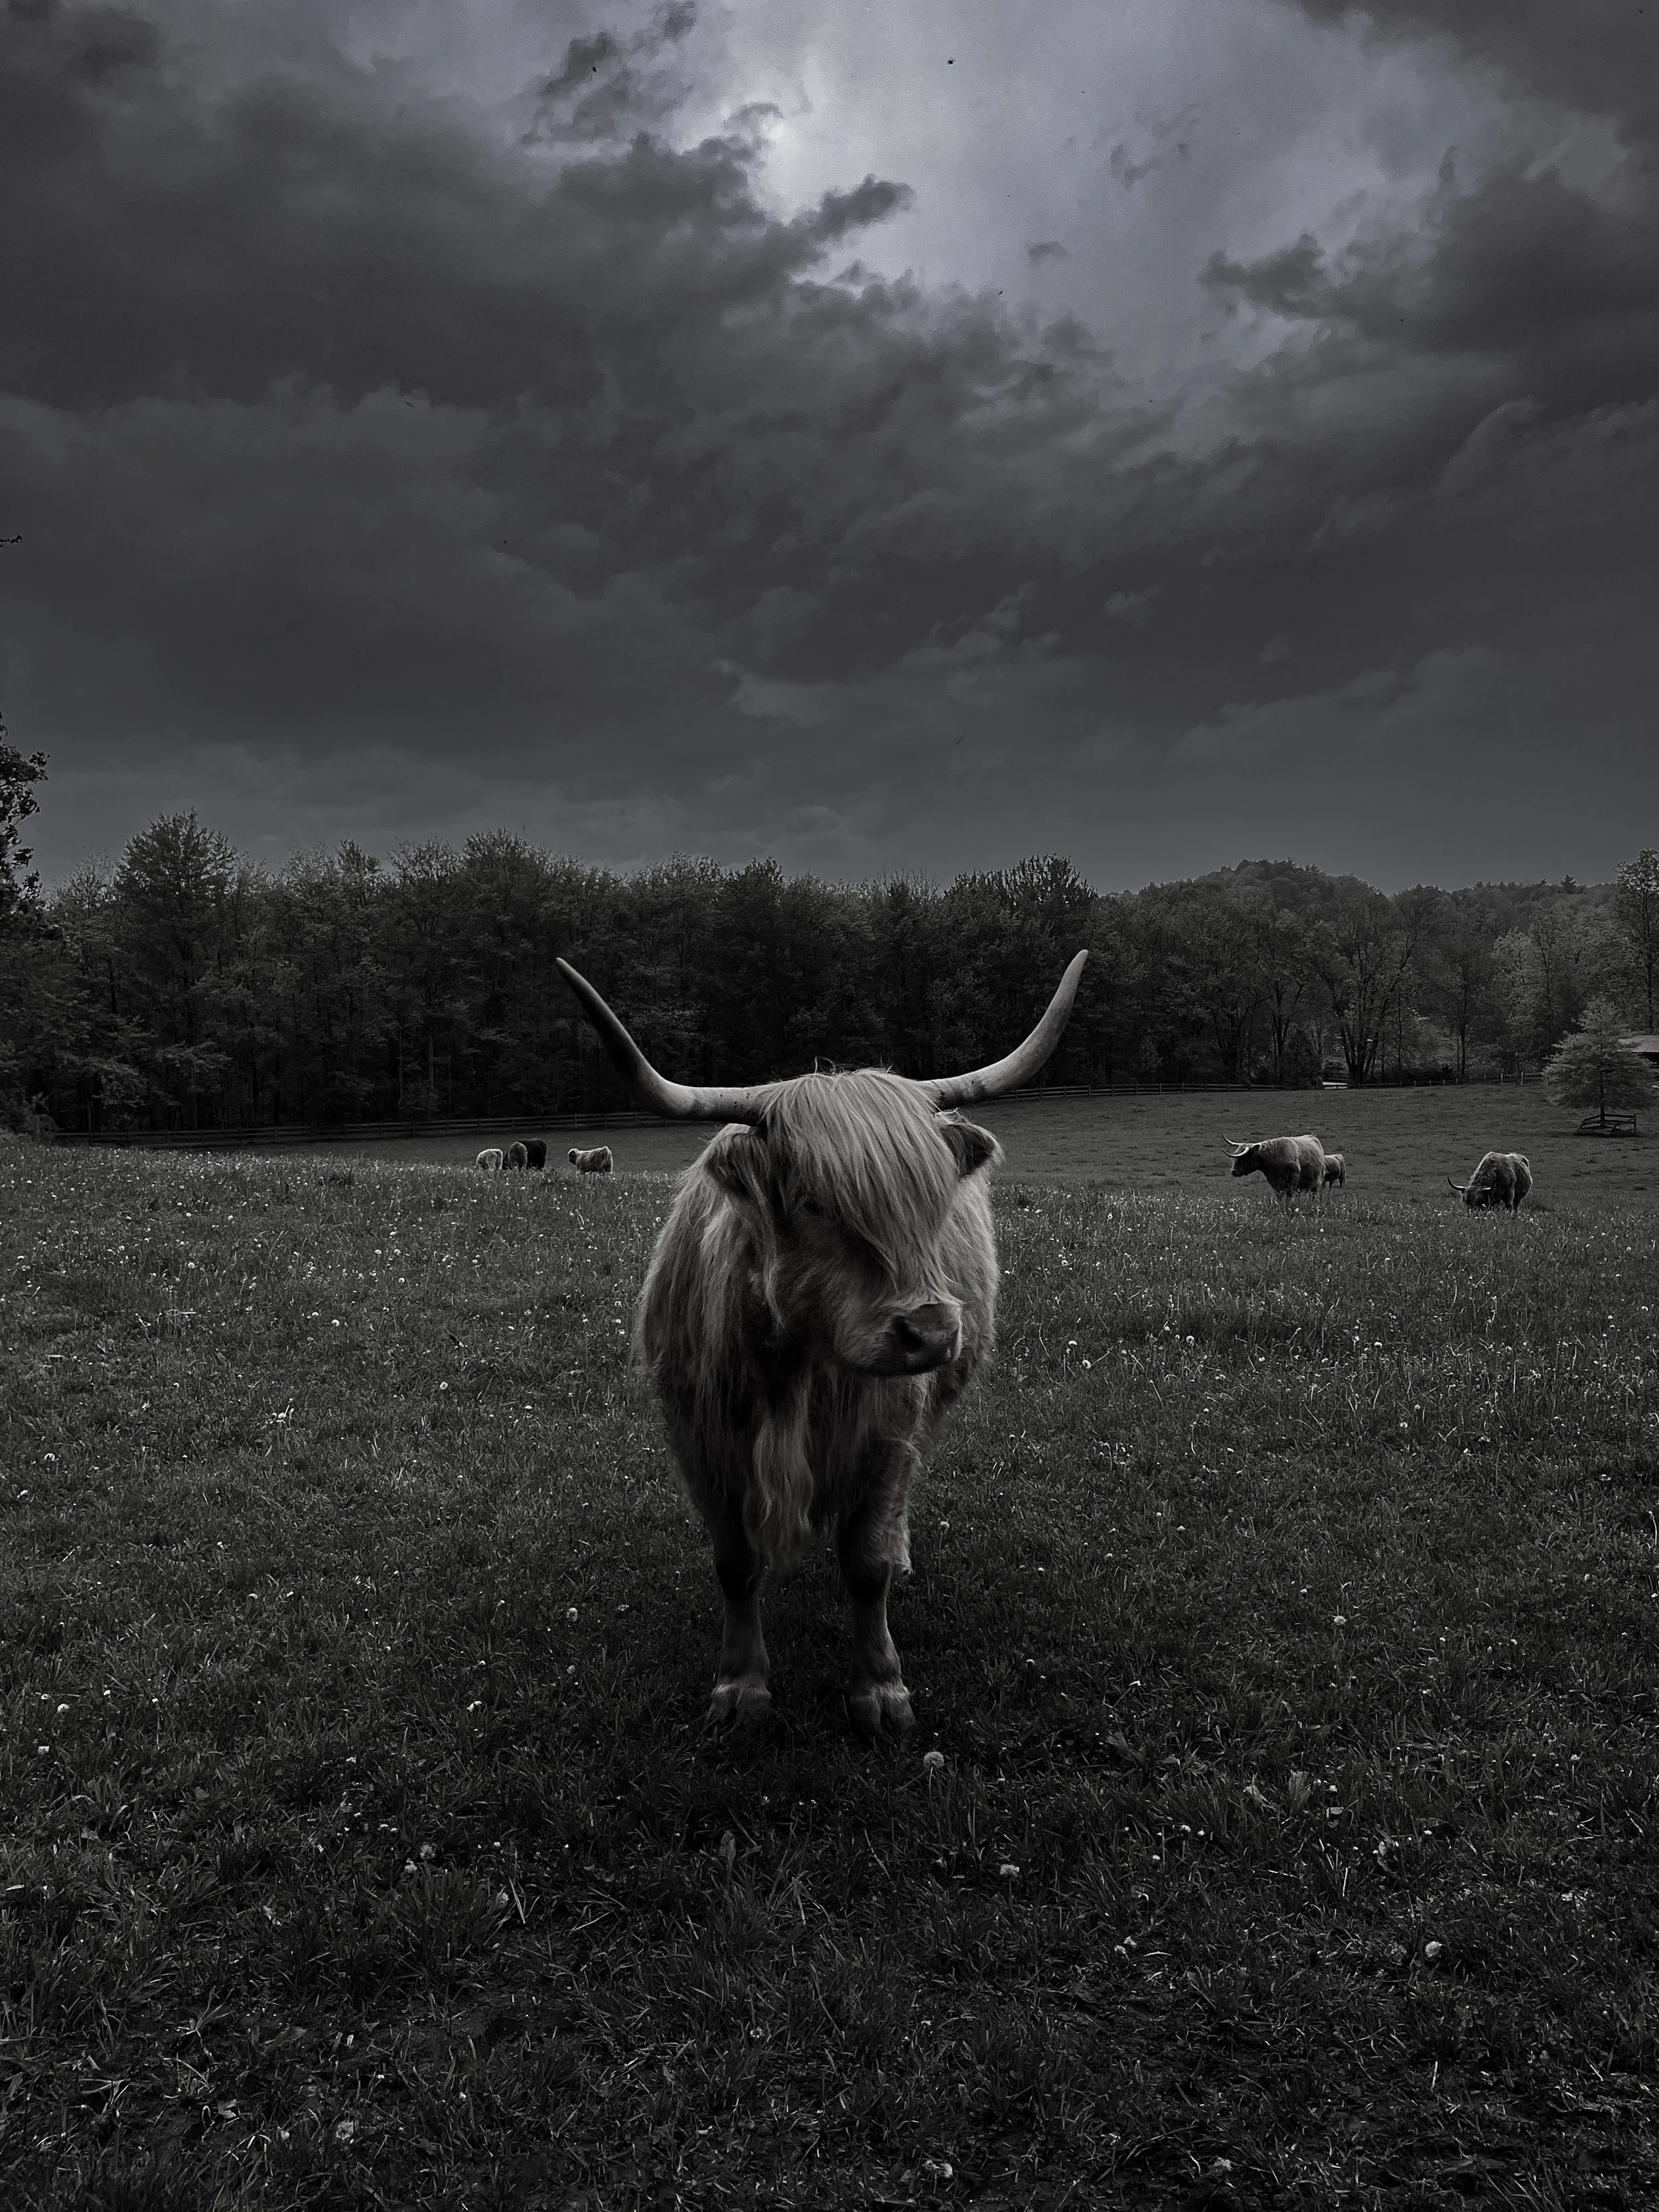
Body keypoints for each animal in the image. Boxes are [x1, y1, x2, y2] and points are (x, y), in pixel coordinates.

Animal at [557, 948, 1088, 1740]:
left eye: (931, 1201)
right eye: (813, 1201)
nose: (931, 1331)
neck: (792, 1370)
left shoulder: (887, 1434)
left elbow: (865, 1562)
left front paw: (880, 1687)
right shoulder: (699, 1439)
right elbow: (735, 1565)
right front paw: (741, 1684)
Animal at [1225, 1133, 1328, 1204]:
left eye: (1243, 1157)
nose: (1233, 1171)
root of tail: (1313, 1138)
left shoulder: (1292, 1180)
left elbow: (1289, 1195)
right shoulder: (1275, 1182)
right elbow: (1279, 1195)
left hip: (1317, 1181)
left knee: (1313, 1194)